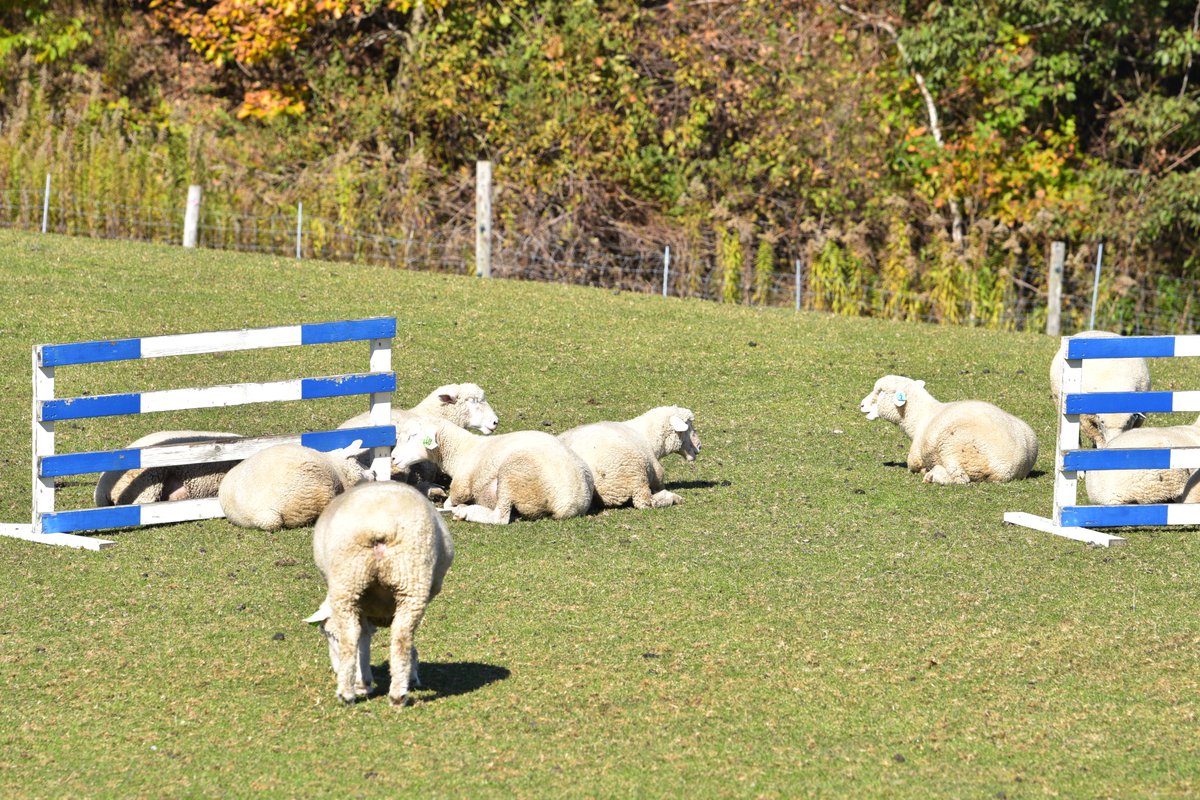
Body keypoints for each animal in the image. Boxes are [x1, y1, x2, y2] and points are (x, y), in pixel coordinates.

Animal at [304, 481, 453, 705]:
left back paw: (349, 692)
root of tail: (380, 525)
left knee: (351, 636)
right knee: (400, 636)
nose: (335, 670)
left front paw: (363, 682)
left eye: (326, 633)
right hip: (408, 579)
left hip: (350, 581)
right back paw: (396, 693)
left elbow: (363, 638)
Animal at [391, 417, 594, 524]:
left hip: (513, 473)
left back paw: (465, 512)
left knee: (500, 517)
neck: (462, 450)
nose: (392, 457)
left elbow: (451, 500)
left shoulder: (461, 486)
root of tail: (570, 502)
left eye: (413, 436)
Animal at [558, 406, 701, 509]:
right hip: (634, 474)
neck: (647, 437)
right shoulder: (656, 473)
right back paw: (674, 498)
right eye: (689, 426)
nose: (700, 446)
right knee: (646, 501)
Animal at [860, 375, 1038, 484]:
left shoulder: (915, 459)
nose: (861, 405)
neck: (920, 418)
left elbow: (914, 466)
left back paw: (933, 475)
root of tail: (1014, 463)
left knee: (960, 478)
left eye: (880, 392)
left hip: (953, 447)